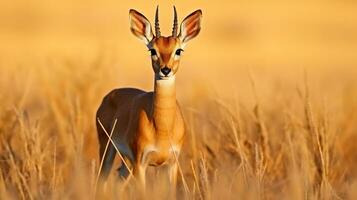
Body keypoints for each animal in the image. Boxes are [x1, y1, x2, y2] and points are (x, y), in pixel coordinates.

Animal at [94, 5, 202, 191]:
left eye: (178, 50)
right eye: (152, 50)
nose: (165, 70)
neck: (162, 128)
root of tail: (108, 96)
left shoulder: (171, 164)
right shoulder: (141, 163)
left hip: (126, 163)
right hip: (108, 150)